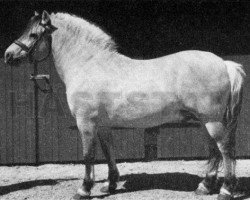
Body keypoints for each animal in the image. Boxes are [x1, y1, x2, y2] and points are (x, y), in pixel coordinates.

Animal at [4, 10, 245, 200]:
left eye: (33, 34)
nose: (8, 55)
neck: (88, 64)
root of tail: (224, 63)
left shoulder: (86, 123)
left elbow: (88, 155)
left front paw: (84, 190)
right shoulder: (102, 125)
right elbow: (108, 150)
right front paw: (110, 184)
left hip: (212, 121)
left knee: (225, 150)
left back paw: (225, 191)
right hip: (205, 122)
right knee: (214, 150)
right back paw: (204, 187)